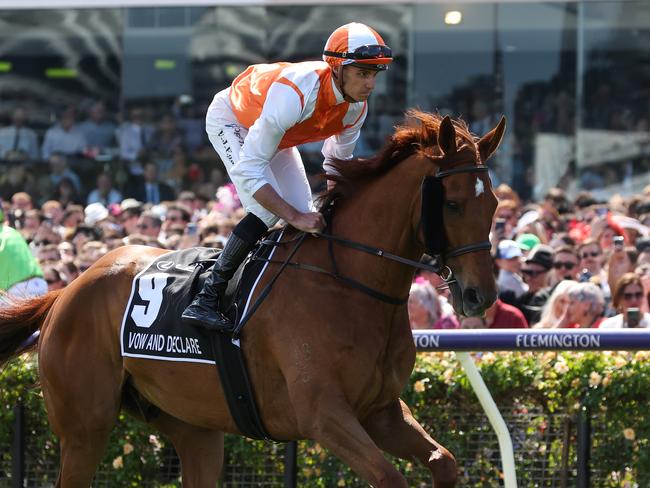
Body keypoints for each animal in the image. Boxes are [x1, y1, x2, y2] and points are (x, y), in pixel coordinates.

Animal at [0, 111, 502, 488]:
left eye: (494, 204)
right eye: (453, 203)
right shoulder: (323, 414)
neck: (347, 283)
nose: (479, 296)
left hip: (193, 427)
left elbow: (444, 463)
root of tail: (68, 289)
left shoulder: (381, 411)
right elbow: (389, 477)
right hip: (84, 426)